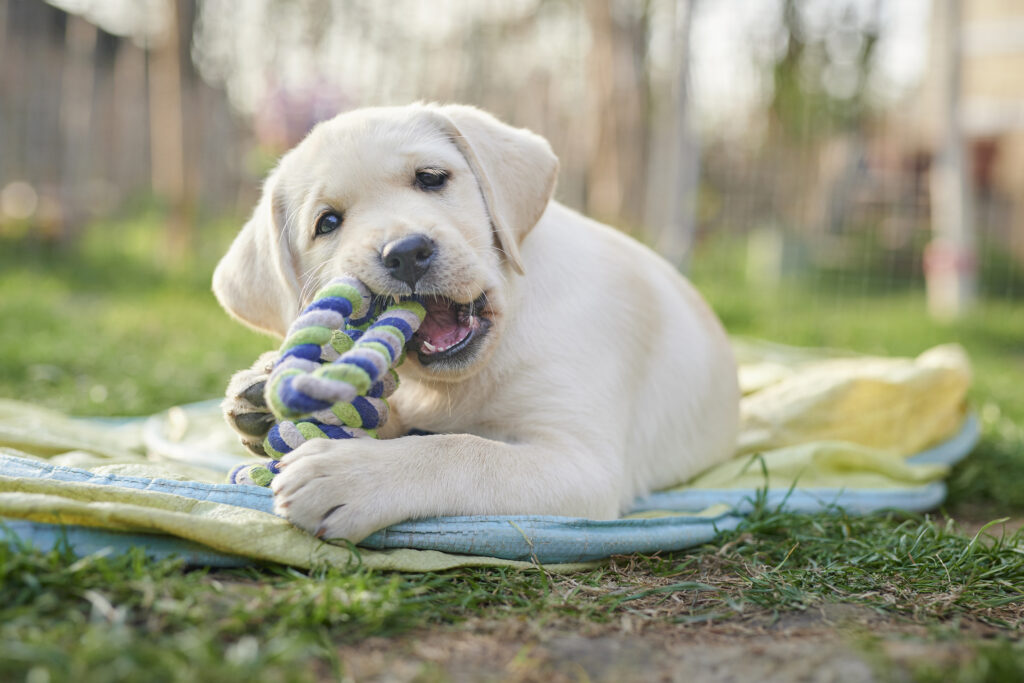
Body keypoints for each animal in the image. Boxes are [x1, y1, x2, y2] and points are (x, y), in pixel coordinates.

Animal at [211, 104, 741, 540]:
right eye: (327, 223)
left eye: (431, 178)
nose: (405, 253)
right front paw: (262, 392)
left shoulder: (583, 463)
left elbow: (464, 451)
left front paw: (349, 475)